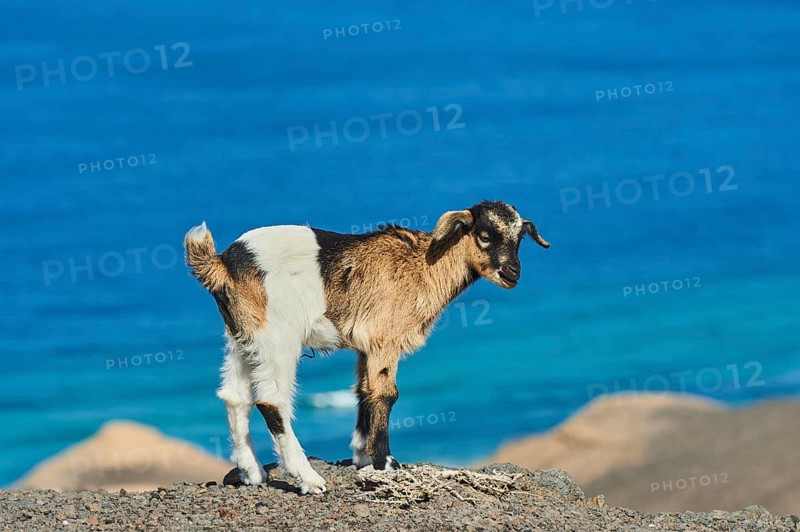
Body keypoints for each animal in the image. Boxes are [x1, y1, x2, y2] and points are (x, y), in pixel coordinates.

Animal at [184, 200, 550, 494]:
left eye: (520, 238)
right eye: (484, 235)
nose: (513, 273)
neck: (424, 265)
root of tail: (221, 264)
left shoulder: (366, 346)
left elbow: (363, 390)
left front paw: (361, 454)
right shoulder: (385, 339)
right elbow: (386, 394)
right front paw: (386, 463)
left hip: (243, 336)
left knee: (234, 395)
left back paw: (253, 473)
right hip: (277, 337)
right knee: (271, 401)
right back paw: (309, 480)